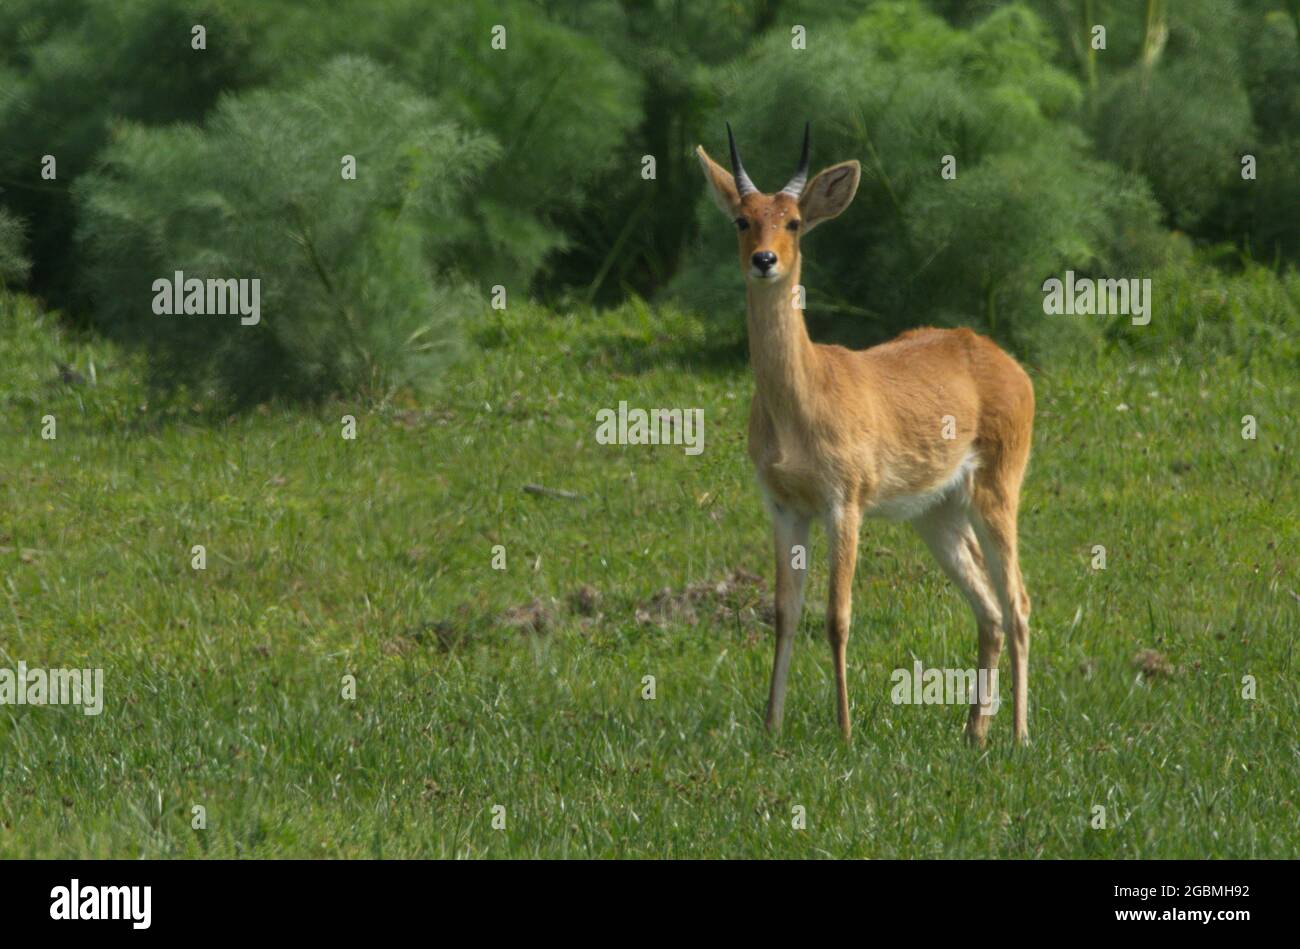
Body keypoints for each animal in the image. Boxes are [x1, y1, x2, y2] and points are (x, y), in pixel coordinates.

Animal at [696, 125, 1040, 743]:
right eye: (741, 219)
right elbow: (785, 611)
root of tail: (1010, 364)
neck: (803, 399)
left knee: (1018, 601)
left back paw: (1020, 735)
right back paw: (973, 733)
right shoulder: (784, 506)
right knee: (988, 608)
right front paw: (771, 726)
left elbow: (837, 616)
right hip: (938, 514)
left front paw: (845, 729)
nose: (764, 260)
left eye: (793, 222)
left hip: (997, 492)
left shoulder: (845, 502)